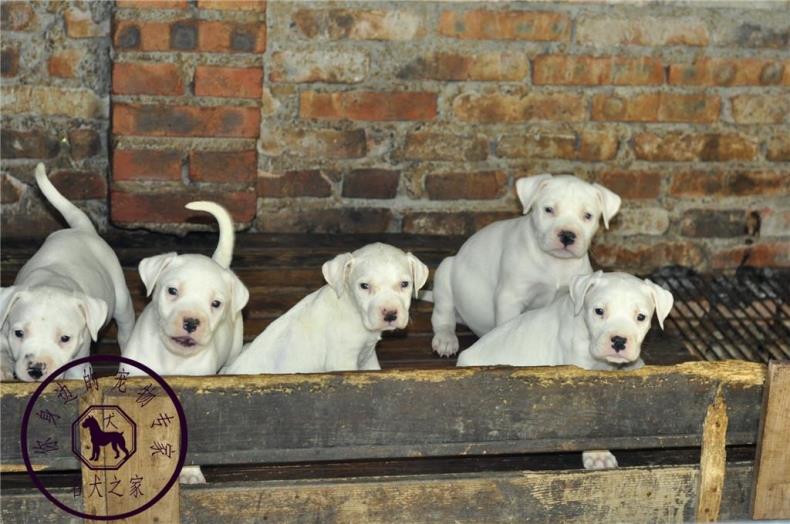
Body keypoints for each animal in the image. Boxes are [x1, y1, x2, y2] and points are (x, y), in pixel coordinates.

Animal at [0, 163, 135, 380]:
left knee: (125, 328)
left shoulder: (78, 363)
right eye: (19, 333)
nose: (36, 369)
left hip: (122, 301)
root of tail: (82, 229)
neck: (51, 281)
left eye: (65, 338)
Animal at [223, 244, 430, 374]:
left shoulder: (368, 358)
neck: (352, 309)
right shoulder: (343, 361)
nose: (390, 314)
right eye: (364, 286)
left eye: (405, 284)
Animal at [430, 174, 620, 358]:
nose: (567, 235)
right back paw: (445, 339)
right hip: (445, 273)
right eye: (548, 210)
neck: (556, 262)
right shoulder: (510, 298)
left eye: (588, 215)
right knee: (442, 316)